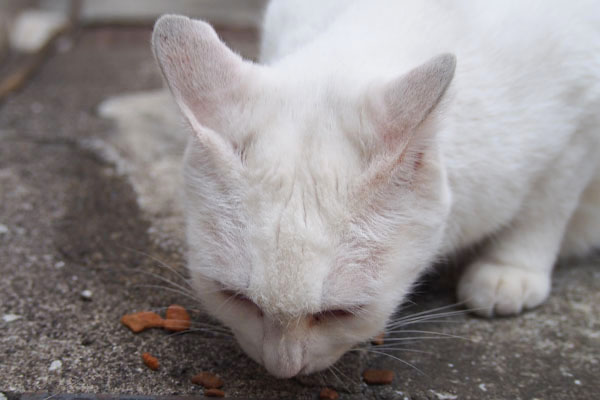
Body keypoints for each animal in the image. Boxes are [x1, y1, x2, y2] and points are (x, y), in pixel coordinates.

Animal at [154, 0, 600, 378]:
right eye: (237, 298)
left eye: (340, 312)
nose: (283, 369)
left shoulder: (580, 127)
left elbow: (545, 208)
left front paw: (510, 269)